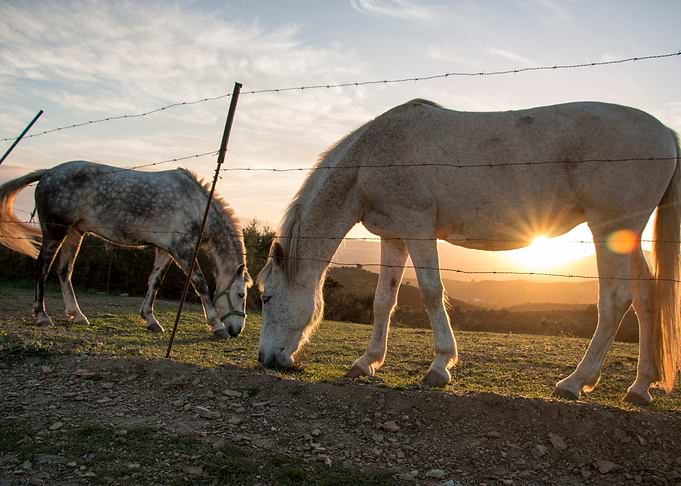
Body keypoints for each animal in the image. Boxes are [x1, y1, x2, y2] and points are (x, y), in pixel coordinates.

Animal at [0, 161, 252, 339]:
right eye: (241, 294)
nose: (237, 330)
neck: (200, 207)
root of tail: (48, 172)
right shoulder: (183, 250)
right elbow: (201, 285)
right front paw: (216, 325)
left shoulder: (165, 250)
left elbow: (154, 282)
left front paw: (150, 320)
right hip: (56, 231)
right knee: (42, 268)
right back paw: (42, 315)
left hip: (74, 233)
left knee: (64, 271)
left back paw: (78, 315)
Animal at [256, 99, 681, 405]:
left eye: (266, 297)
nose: (266, 360)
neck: (372, 156)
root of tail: (666, 133)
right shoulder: (394, 236)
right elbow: (383, 301)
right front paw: (366, 362)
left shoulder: (418, 227)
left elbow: (431, 292)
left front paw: (440, 366)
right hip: (625, 235)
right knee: (646, 298)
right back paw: (640, 387)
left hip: (609, 227)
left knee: (615, 300)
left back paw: (575, 382)